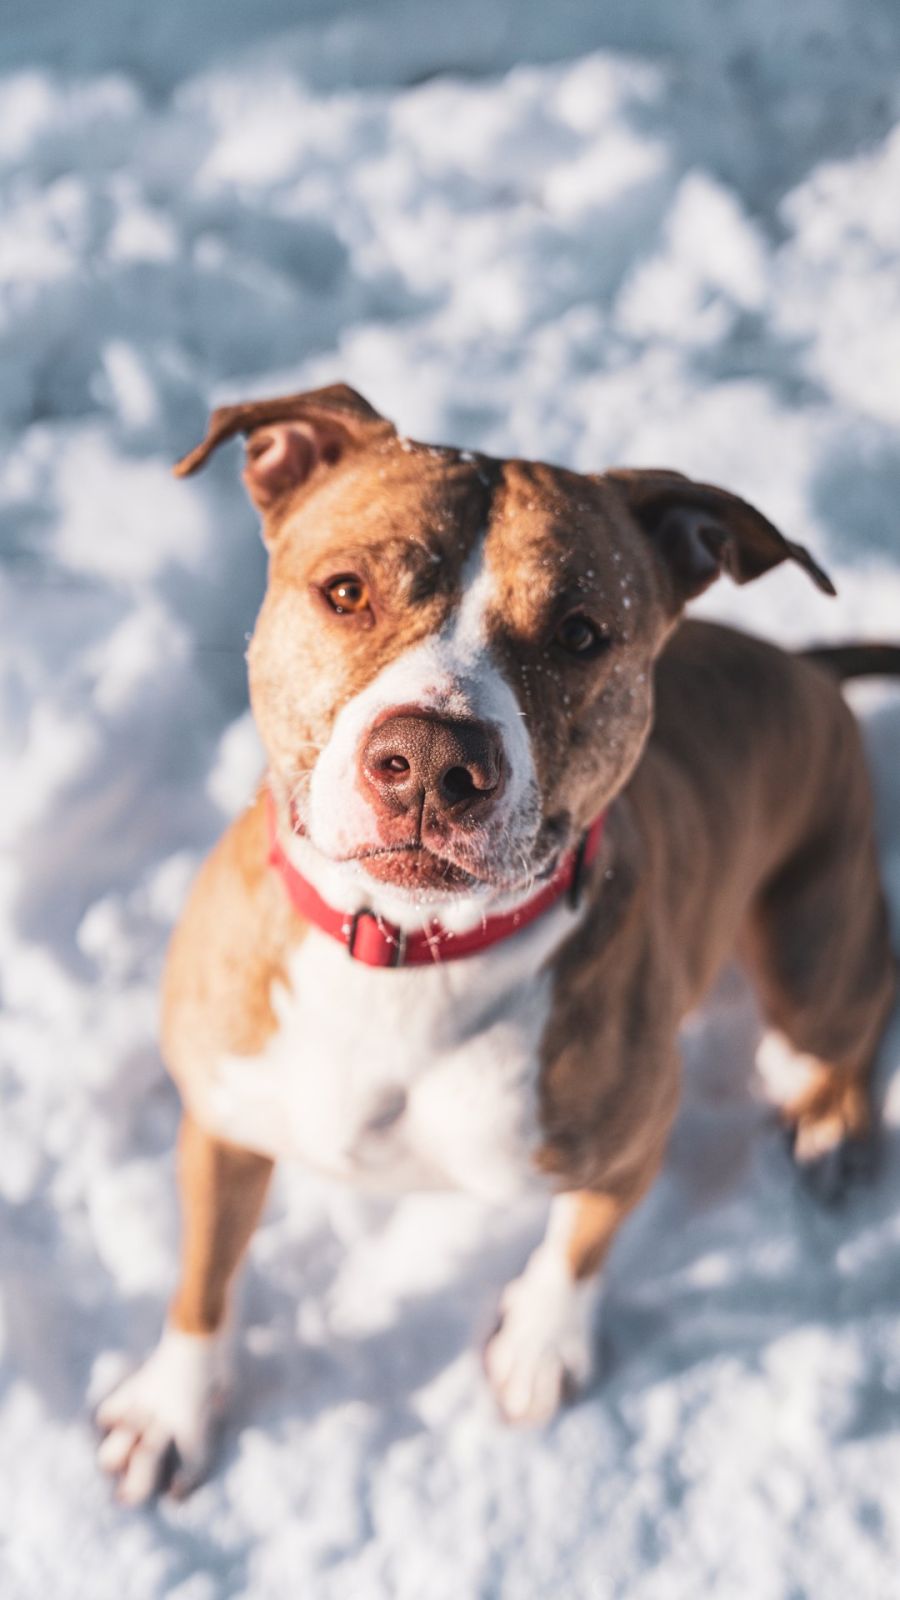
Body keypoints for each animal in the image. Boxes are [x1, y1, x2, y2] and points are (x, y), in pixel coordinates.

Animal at [96, 383, 898, 1503]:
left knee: (852, 1014)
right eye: (345, 591)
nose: (433, 757)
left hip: (813, 939)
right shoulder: (221, 1118)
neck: (407, 957)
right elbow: (207, 1274)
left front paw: (539, 1347)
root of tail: (807, 667)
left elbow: (580, 1245)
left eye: (581, 632)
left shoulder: (630, 1141)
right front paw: (169, 1409)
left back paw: (830, 1127)